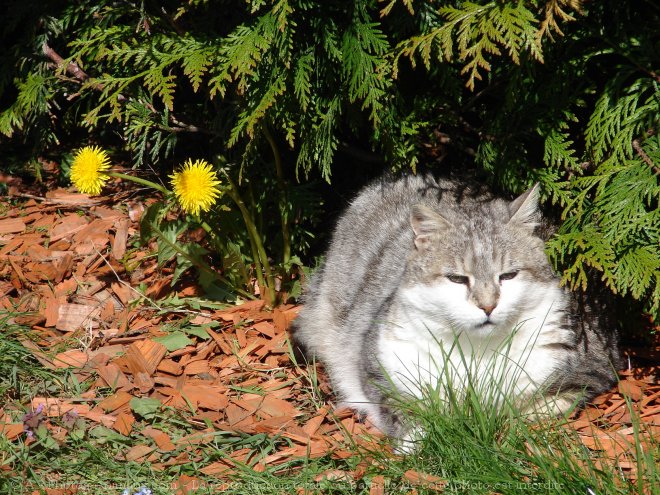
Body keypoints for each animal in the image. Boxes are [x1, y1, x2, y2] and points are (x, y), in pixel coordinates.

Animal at [292, 173, 620, 442]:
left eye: (508, 275)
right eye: (457, 278)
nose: (488, 305)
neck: (476, 352)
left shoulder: (587, 367)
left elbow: (536, 406)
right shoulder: (381, 361)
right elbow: (406, 412)